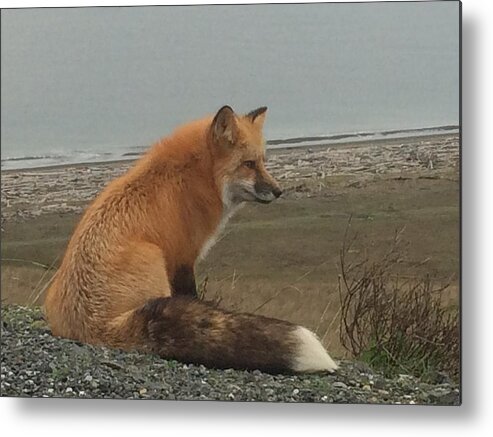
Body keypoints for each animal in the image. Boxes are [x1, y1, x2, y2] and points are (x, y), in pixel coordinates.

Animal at [44, 105, 336, 372]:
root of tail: (94, 329)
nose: (278, 191)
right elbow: (192, 295)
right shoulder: (183, 257)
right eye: (249, 164)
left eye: (263, 161)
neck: (192, 179)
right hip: (155, 261)